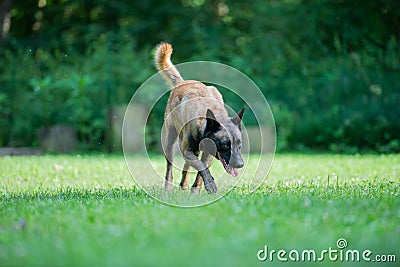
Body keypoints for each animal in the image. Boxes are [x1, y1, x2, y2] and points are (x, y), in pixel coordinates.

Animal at [155, 42, 244, 194]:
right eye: (226, 144)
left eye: (239, 144)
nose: (240, 164)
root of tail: (182, 82)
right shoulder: (187, 150)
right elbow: (201, 167)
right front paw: (210, 185)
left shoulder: (208, 153)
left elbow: (201, 169)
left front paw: (196, 191)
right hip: (170, 142)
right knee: (170, 169)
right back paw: (168, 189)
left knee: (187, 166)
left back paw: (184, 184)